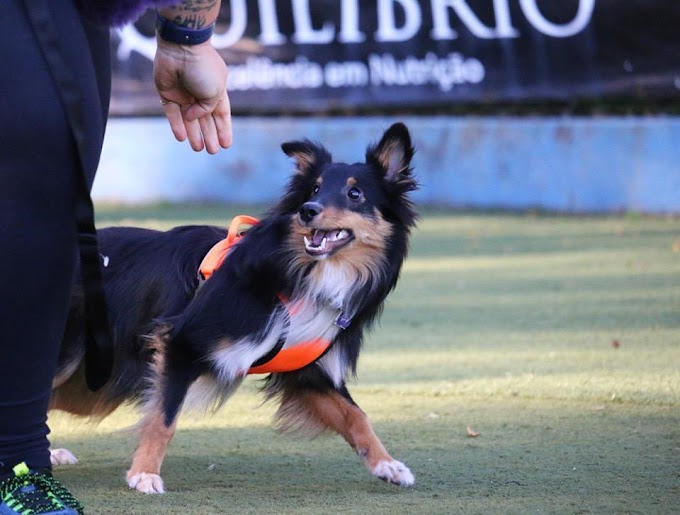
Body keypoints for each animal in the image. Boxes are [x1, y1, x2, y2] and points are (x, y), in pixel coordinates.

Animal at [50, 122, 418, 496]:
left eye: (355, 194)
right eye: (314, 189)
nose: (308, 210)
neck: (299, 276)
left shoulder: (308, 372)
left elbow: (356, 415)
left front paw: (387, 464)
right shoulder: (181, 344)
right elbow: (164, 418)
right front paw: (144, 473)